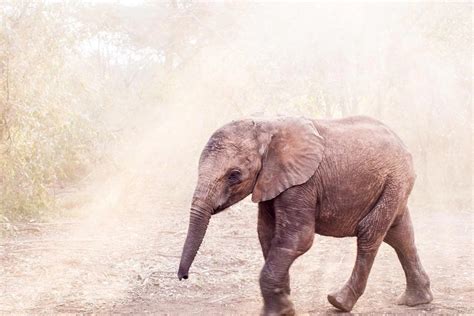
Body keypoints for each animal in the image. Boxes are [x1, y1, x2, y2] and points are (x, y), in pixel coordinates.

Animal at [178, 116, 434, 316]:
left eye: (234, 175)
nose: (183, 277)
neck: (266, 125)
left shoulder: (302, 183)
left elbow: (298, 239)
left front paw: (278, 312)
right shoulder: (271, 181)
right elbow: (267, 236)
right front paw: (284, 304)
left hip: (395, 179)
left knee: (370, 233)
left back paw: (339, 302)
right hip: (393, 184)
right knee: (400, 234)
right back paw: (416, 300)